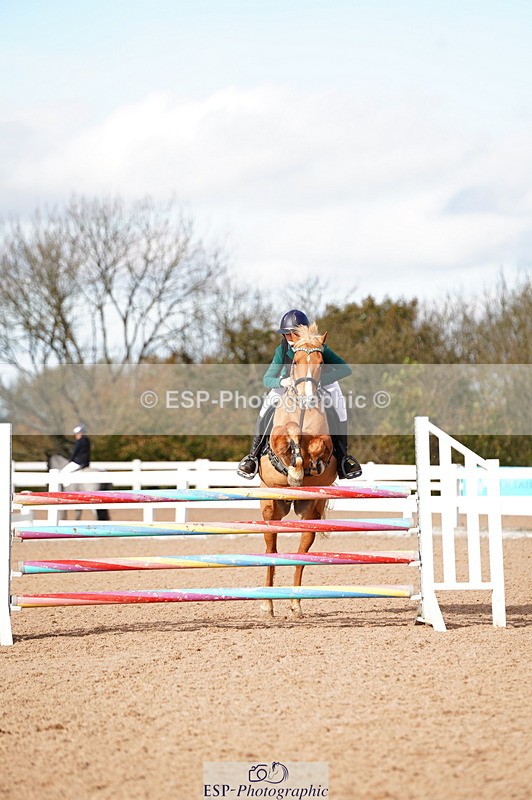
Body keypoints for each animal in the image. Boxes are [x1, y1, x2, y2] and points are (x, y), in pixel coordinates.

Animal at [259, 323, 338, 617]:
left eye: (321, 362)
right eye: (294, 361)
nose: (307, 399)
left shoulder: (323, 441)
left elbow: (317, 445)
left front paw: (308, 466)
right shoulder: (278, 438)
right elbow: (288, 433)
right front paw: (294, 471)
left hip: (310, 512)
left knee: (302, 551)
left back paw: (295, 603)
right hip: (271, 507)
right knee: (271, 550)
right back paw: (267, 604)